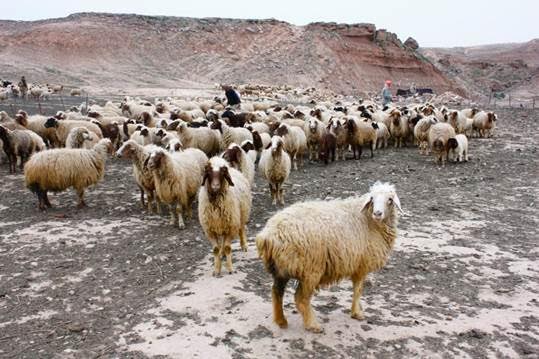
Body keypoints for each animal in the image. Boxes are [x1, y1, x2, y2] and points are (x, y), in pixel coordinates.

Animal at [255, 181, 402, 334]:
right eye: (372, 198)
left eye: (390, 199)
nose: (377, 213)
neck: (369, 221)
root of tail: (268, 235)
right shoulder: (362, 265)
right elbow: (358, 290)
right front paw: (357, 313)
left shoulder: (357, 264)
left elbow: (357, 289)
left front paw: (355, 312)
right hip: (311, 269)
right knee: (300, 298)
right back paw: (312, 324)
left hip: (281, 269)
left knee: (276, 292)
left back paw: (281, 321)